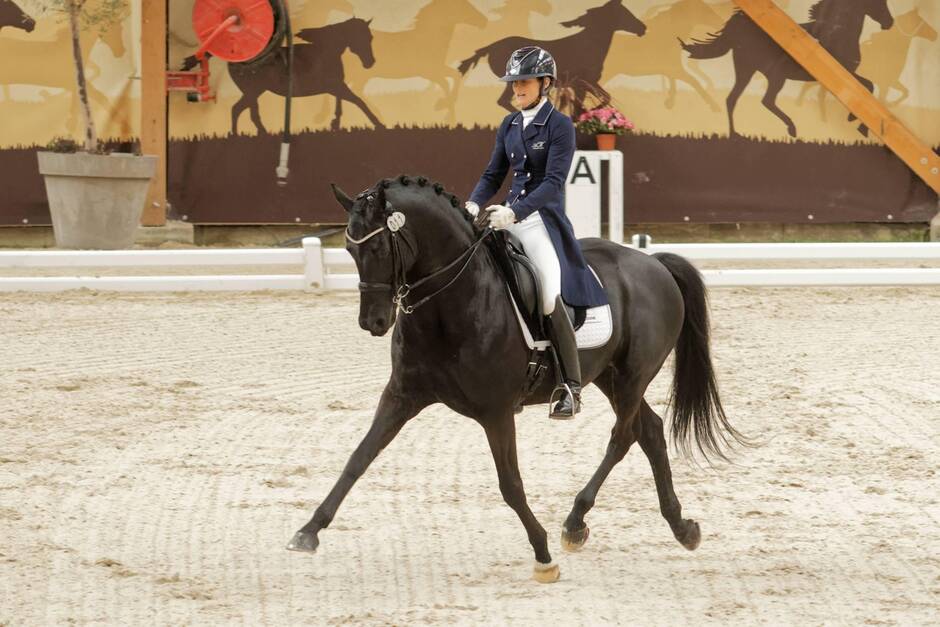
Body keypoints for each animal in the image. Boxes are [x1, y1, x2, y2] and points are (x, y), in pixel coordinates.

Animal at [228, 17, 382, 134]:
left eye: (370, 37)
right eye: (360, 36)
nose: (370, 62)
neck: (326, 51)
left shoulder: (336, 86)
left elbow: (342, 103)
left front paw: (335, 124)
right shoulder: (334, 86)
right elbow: (358, 101)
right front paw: (378, 124)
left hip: (253, 93)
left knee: (241, 110)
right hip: (253, 92)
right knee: (242, 111)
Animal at [286, 177, 740, 584]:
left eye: (379, 247)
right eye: (349, 249)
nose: (373, 323)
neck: (450, 305)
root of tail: (654, 263)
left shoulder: (496, 411)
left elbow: (510, 484)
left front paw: (542, 555)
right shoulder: (401, 396)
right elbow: (358, 458)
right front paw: (308, 532)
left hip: (632, 376)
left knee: (623, 436)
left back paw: (575, 523)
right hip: (608, 377)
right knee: (650, 431)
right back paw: (682, 528)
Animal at [456, 0, 648, 116]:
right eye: (624, 12)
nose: (643, 28)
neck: (588, 46)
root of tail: (491, 46)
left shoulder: (587, 83)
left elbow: (604, 98)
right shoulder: (581, 83)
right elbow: (583, 107)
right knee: (505, 102)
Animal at [680, 0, 892, 138]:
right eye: (880, 2)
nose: (889, 23)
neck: (838, 33)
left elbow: (869, 86)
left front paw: (854, 120)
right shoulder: (847, 74)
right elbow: (869, 86)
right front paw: (857, 122)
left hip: (746, 70)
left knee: (733, 99)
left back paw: (735, 134)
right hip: (774, 75)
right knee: (766, 100)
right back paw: (791, 129)